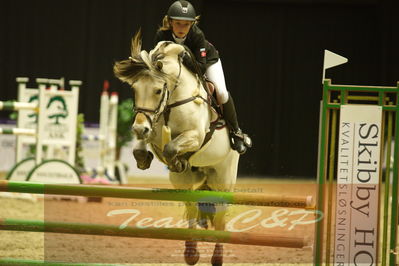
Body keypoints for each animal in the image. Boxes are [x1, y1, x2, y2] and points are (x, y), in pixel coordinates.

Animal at [114, 32, 239, 264]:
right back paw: (191, 253)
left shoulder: (195, 136)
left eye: (157, 90)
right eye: (135, 89)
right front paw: (145, 159)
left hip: (223, 178)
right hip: (186, 182)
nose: (138, 128)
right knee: (191, 207)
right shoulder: (151, 130)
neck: (171, 102)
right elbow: (141, 149)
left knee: (220, 215)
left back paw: (217, 257)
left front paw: (177, 161)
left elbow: (171, 148)